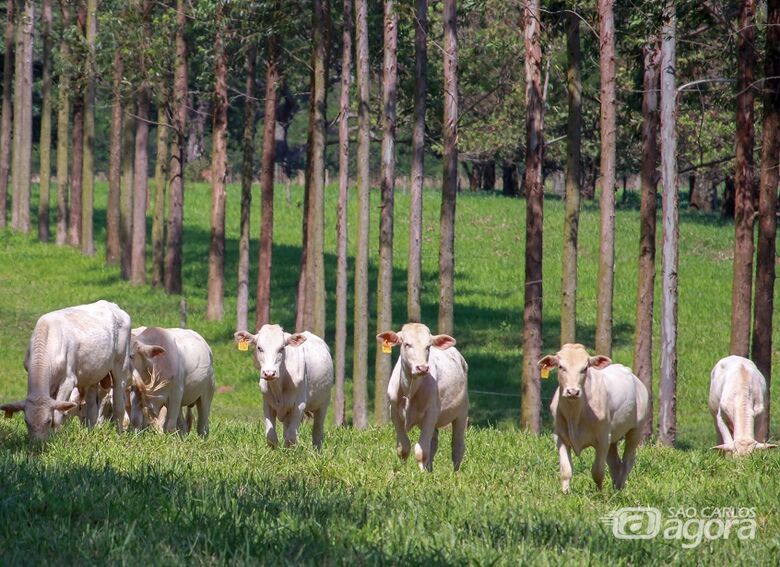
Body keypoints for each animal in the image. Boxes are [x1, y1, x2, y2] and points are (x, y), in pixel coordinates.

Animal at [0, 300, 133, 442]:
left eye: (48, 421)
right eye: (26, 422)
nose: (37, 444)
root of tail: (112, 305)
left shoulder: (68, 381)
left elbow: (58, 414)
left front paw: (55, 438)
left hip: (121, 365)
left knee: (119, 405)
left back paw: (119, 435)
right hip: (93, 375)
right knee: (92, 409)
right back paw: (90, 434)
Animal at [378, 322, 470, 472]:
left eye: (428, 346)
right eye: (407, 344)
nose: (422, 368)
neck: (410, 390)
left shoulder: (431, 413)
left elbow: (421, 451)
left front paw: (421, 474)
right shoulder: (394, 413)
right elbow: (403, 448)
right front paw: (404, 470)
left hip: (461, 412)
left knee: (457, 446)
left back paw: (455, 472)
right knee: (434, 442)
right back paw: (430, 470)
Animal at [540, 342, 648, 492]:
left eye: (585, 368)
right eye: (561, 367)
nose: (572, 391)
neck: (575, 415)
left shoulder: (603, 439)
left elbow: (597, 471)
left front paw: (599, 493)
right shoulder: (559, 437)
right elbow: (566, 470)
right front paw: (565, 492)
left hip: (636, 430)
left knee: (627, 461)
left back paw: (619, 488)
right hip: (613, 438)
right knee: (615, 463)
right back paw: (615, 488)